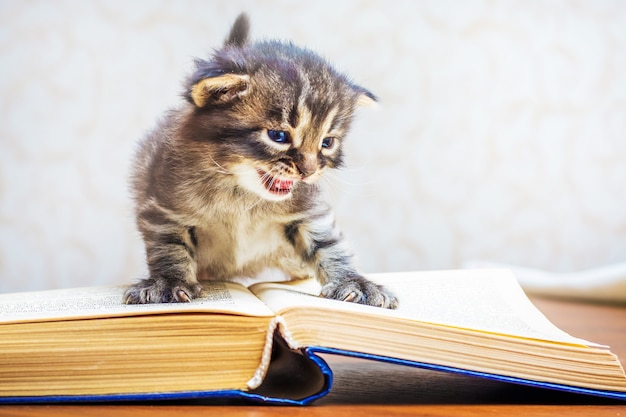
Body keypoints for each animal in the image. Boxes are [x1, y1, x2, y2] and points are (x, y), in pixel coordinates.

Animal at [121, 13, 394, 308]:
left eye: (327, 143)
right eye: (278, 136)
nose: (308, 171)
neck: (240, 195)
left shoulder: (310, 210)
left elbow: (329, 245)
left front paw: (355, 282)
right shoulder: (162, 207)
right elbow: (169, 248)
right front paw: (168, 282)